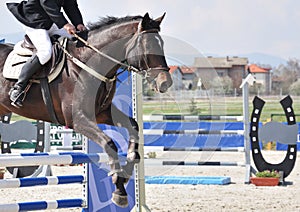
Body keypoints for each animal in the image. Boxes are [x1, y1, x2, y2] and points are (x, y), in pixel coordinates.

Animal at [0, 13, 172, 207]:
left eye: (161, 45)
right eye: (148, 46)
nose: (165, 82)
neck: (88, 63)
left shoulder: (101, 114)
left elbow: (133, 127)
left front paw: (128, 168)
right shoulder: (78, 120)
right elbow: (109, 143)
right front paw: (119, 188)